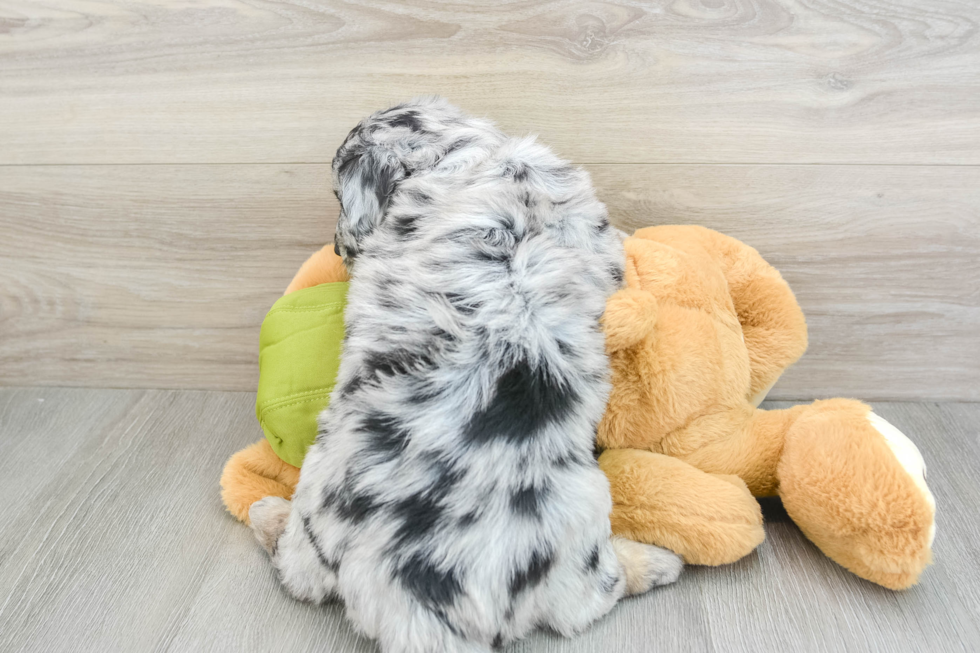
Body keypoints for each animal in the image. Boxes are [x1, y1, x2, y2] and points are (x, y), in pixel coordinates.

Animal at [253, 95, 680, 652]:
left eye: (336, 193)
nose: (337, 247)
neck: (463, 153)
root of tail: (416, 604)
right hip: (581, 536)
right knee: (597, 596)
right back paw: (660, 562)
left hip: (314, 520)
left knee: (296, 570)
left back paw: (267, 514)